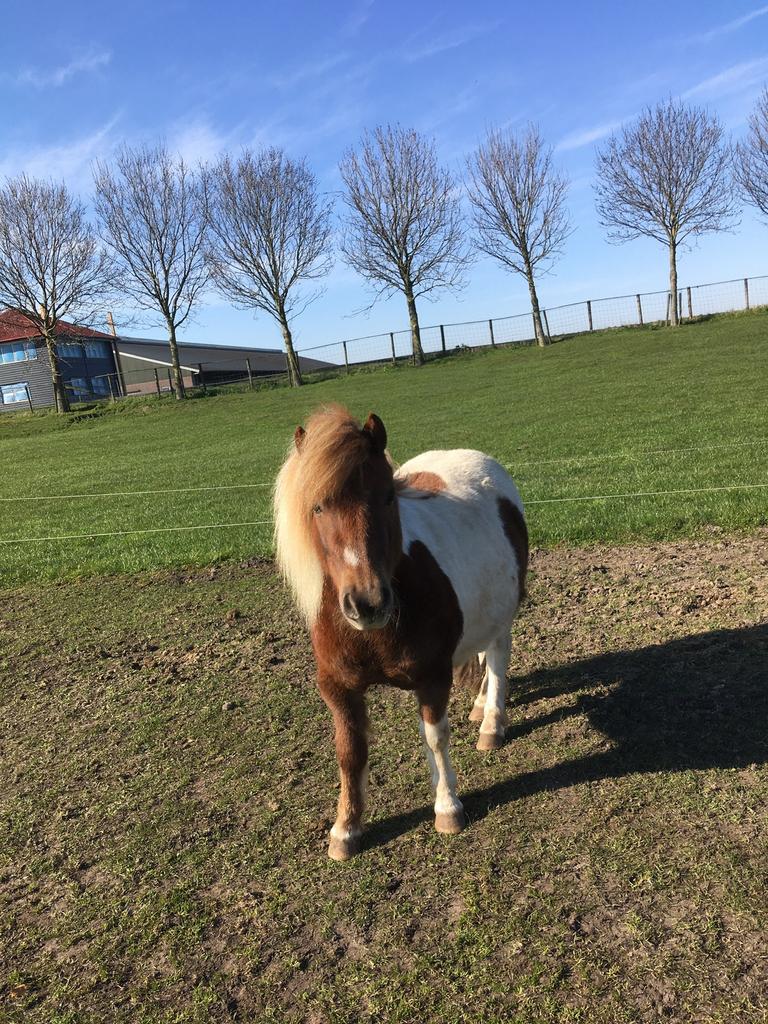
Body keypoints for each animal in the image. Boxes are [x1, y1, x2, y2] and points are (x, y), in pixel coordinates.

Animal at [274, 404, 528, 860]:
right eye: (317, 507)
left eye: (387, 496)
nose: (368, 602)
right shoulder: (337, 687)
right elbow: (350, 753)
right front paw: (346, 829)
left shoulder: (432, 678)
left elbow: (434, 739)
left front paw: (447, 808)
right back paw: (480, 705)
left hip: (503, 615)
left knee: (498, 659)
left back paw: (491, 723)